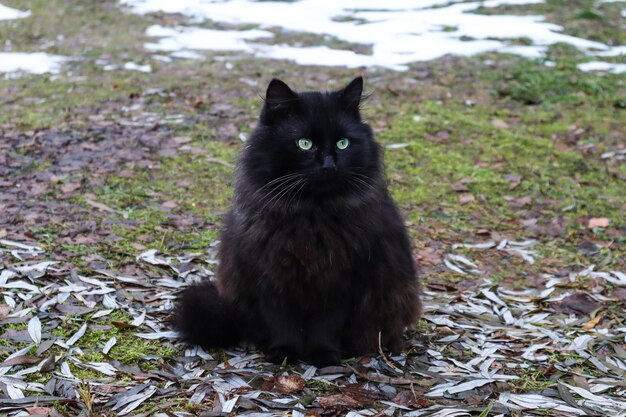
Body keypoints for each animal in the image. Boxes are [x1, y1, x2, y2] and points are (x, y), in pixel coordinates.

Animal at [172, 76, 420, 366]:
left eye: (343, 143)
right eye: (304, 144)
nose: (329, 166)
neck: (311, 218)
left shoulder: (340, 281)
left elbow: (327, 324)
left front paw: (323, 355)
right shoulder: (270, 275)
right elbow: (282, 322)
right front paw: (285, 352)